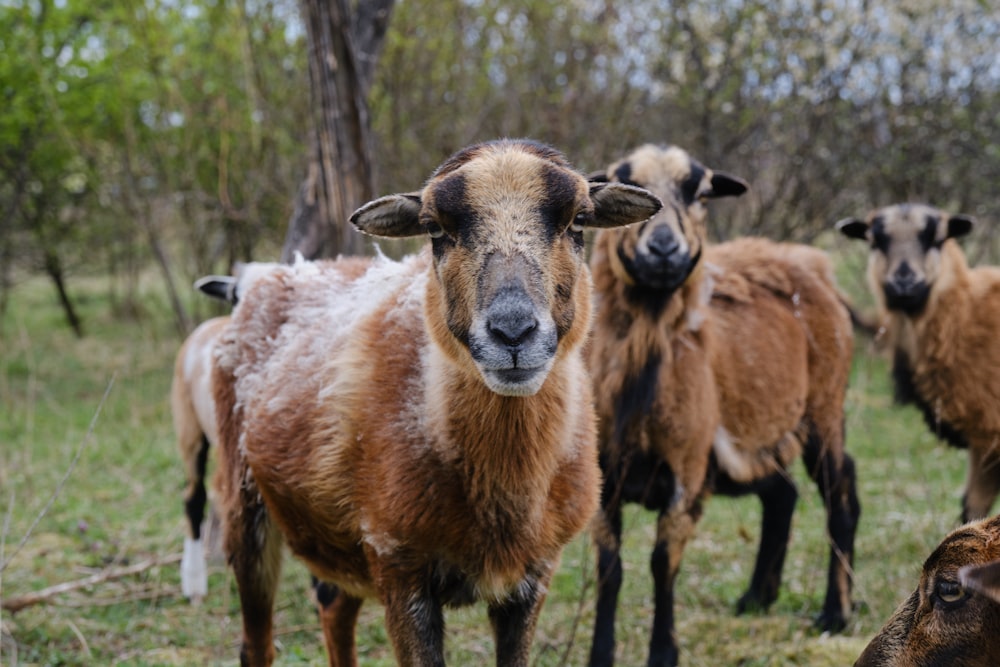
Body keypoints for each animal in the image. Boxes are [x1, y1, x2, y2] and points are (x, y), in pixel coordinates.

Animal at [212, 137, 664, 667]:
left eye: (578, 221)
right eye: (434, 229)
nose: (513, 332)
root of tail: (285, 270)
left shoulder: (533, 577)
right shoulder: (398, 566)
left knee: (334, 611)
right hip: (244, 504)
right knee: (256, 643)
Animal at [584, 144, 860, 664]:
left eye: (701, 192)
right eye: (628, 183)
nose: (664, 249)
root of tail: (809, 262)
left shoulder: (688, 472)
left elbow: (661, 563)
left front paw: (663, 652)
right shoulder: (606, 474)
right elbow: (610, 569)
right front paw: (600, 654)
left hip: (823, 408)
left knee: (840, 494)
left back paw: (836, 612)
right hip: (750, 441)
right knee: (784, 495)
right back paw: (757, 597)